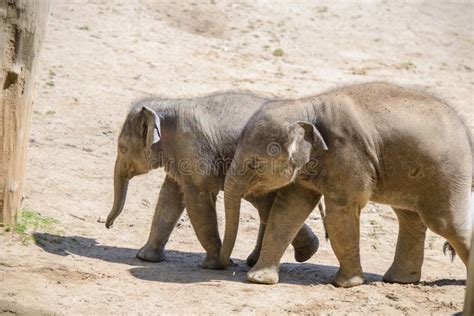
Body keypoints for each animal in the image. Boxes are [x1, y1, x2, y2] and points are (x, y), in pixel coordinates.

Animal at [103, 91, 318, 270]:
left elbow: (198, 202)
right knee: (267, 206)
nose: (109, 225)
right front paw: (145, 257)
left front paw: (213, 265)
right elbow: (169, 198)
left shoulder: (194, 152)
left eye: (122, 147)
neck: (167, 104)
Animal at [220, 81, 472, 286]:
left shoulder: (348, 155)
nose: (228, 265)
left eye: (254, 164)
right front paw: (259, 280)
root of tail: (465, 130)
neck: (306, 106)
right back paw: (398, 281)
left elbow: (340, 212)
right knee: (409, 217)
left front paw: (345, 284)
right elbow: (287, 210)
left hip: (447, 174)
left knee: (444, 223)